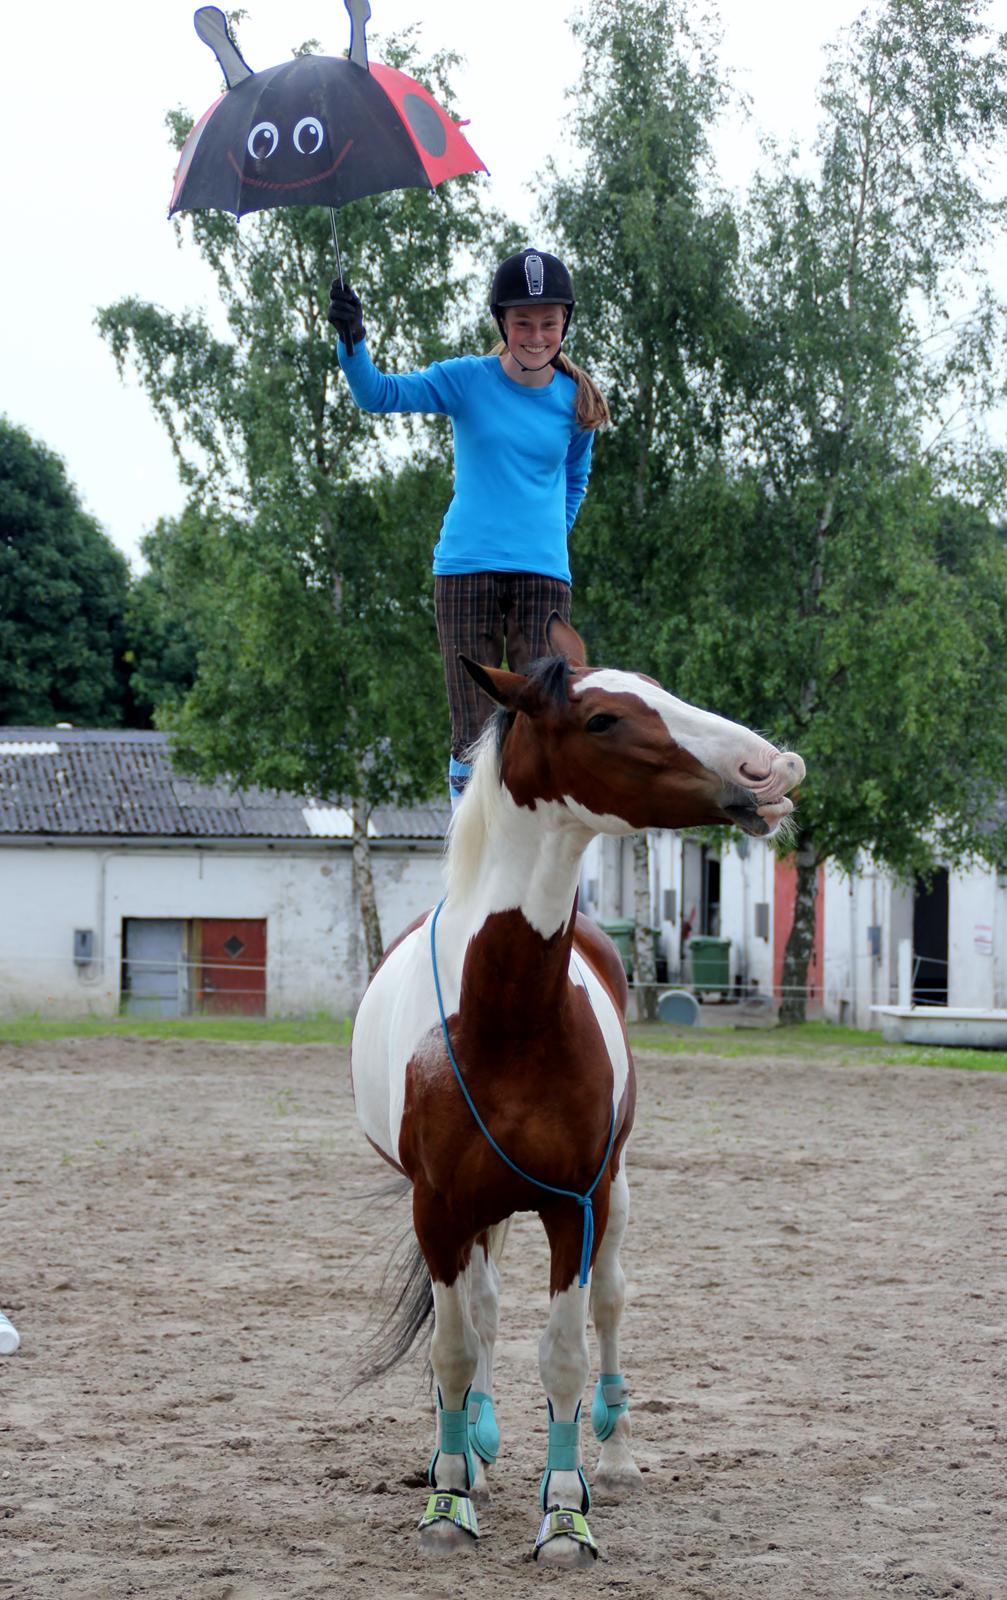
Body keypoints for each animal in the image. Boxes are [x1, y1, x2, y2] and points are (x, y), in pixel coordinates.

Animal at [349, 617, 803, 1568]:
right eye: (602, 718)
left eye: (661, 689)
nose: (769, 768)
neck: (506, 1016)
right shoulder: (437, 1209)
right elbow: (452, 1350)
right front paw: (449, 1498)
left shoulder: (573, 1204)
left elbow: (562, 1350)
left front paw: (564, 1512)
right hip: (476, 1214)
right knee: (481, 1316)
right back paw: (474, 1450)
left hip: (612, 1194)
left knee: (609, 1305)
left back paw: (614, 1455)